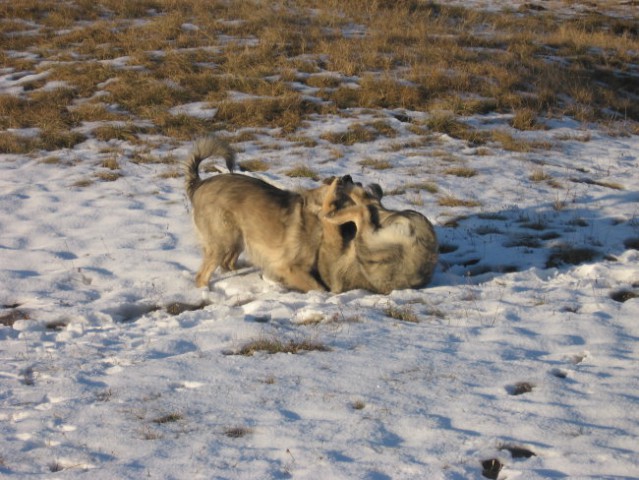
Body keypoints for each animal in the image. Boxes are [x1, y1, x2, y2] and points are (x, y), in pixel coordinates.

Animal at [185, 136, 348, 292]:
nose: (347, 177)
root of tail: (199, 184)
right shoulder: (288, 267)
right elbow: (318, 288)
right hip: (223, 241)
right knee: (202, 276)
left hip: (239, 237)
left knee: (227, 262)